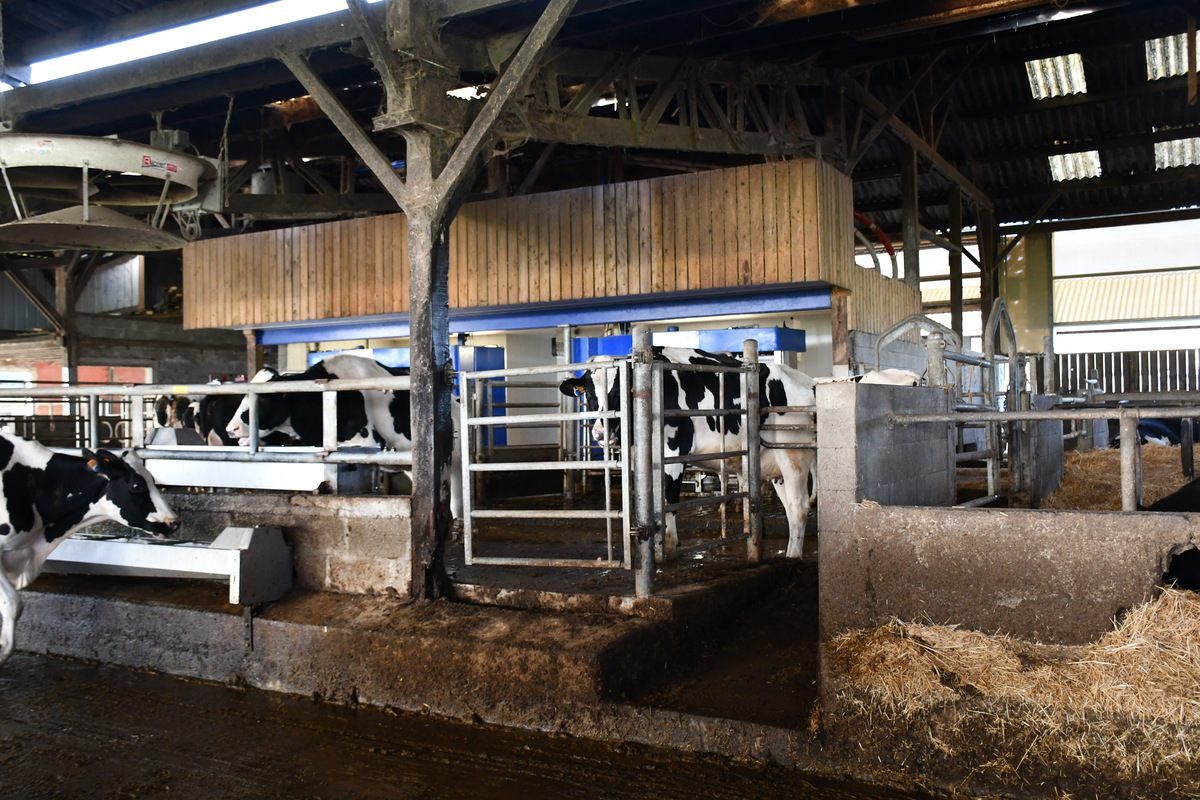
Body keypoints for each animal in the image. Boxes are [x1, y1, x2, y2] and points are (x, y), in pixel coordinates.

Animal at [559, 347, 817, 559]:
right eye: (588, 393)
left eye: (620, 392)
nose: (601, 433)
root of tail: (808, 383)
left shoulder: (673, 451)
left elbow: (668, 500)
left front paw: (667, 546)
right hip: (776, 467)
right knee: (790, 508)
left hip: (793, 454)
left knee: (799, 508)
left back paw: (792, 559)